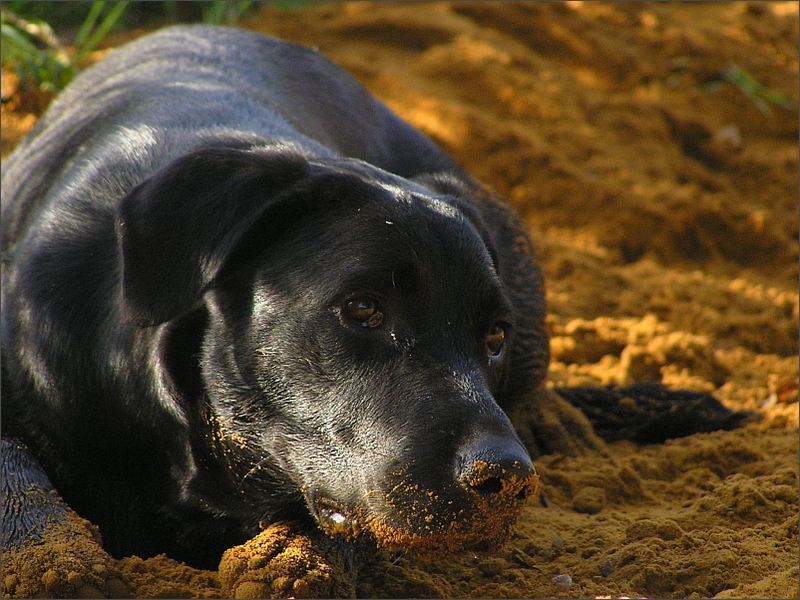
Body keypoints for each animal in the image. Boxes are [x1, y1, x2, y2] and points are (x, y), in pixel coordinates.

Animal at [1, 25, 744, 576]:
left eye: (493, 337)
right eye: (362, 310)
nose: (507, 479)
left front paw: (291, 564)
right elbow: (21, 487)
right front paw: (54, 567)